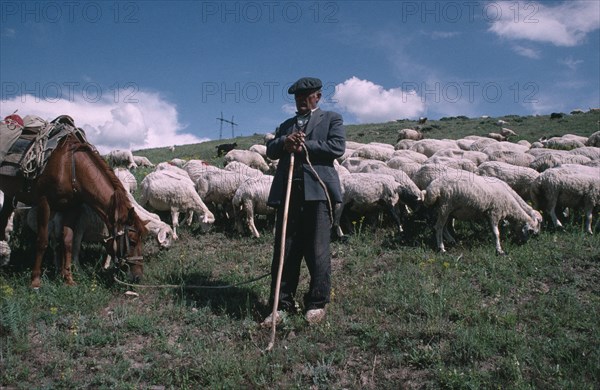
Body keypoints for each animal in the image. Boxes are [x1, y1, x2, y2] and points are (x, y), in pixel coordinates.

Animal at [0, 133, 148, 288]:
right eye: (132, 241)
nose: (138, 276)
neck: (70, 168)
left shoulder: (71, 209)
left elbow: (68, 242)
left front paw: (68, 279)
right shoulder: (43, 203)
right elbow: (42, 241)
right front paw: (35, 280)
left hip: (10, 195)